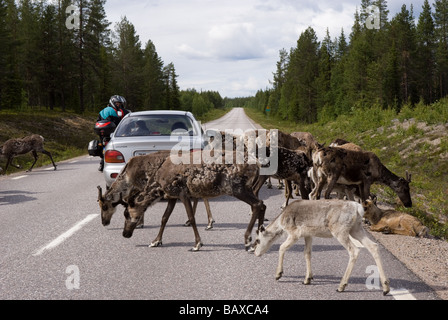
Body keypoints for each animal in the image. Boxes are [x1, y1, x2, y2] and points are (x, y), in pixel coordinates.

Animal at [254, 200, 390, 296]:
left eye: (257, 240)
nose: (255, 253)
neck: (281, 224)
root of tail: (358, 209)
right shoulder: (308, 234)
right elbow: (307, 253)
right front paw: (307, 279)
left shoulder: (294, 233)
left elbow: (281, 247)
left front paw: (278, 274)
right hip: (356, 229)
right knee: (373, 246)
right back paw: (385, 288)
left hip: (340, 230)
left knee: (354, 250)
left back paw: (341, 286)